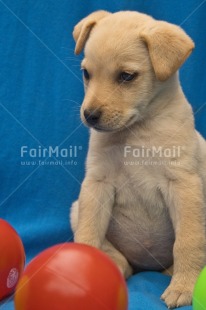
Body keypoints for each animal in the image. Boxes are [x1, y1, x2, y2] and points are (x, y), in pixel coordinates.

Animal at [69, 9, 206, 308]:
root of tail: (149, 266)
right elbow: (87, 234)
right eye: (87, 73)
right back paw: (116, 266)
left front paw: (184, 287)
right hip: (76, 208)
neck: (135, 134)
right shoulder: (97, 184)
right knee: (120, 259)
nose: (90, 115)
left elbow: (188, 241)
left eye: (126, 76)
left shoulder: (183, 185)